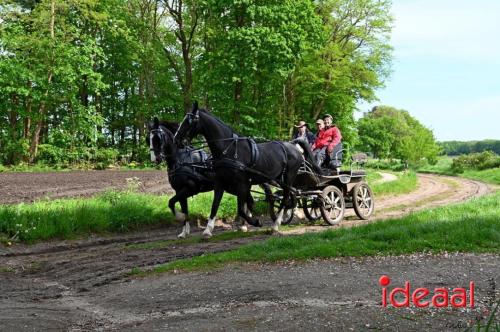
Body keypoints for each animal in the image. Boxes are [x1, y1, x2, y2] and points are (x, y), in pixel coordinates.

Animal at [174, 104, 318, 236]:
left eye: (189, 121)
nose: (176, 140)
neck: (229, 149)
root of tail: (293, 146)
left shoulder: (242, 183)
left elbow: (241, 209)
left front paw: (255, 222)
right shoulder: (220, 182)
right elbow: (215, 205)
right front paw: (208, 230)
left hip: (289, 176)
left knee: (286, 197)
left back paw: (276, 225)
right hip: (278, 179)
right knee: (290, 196)